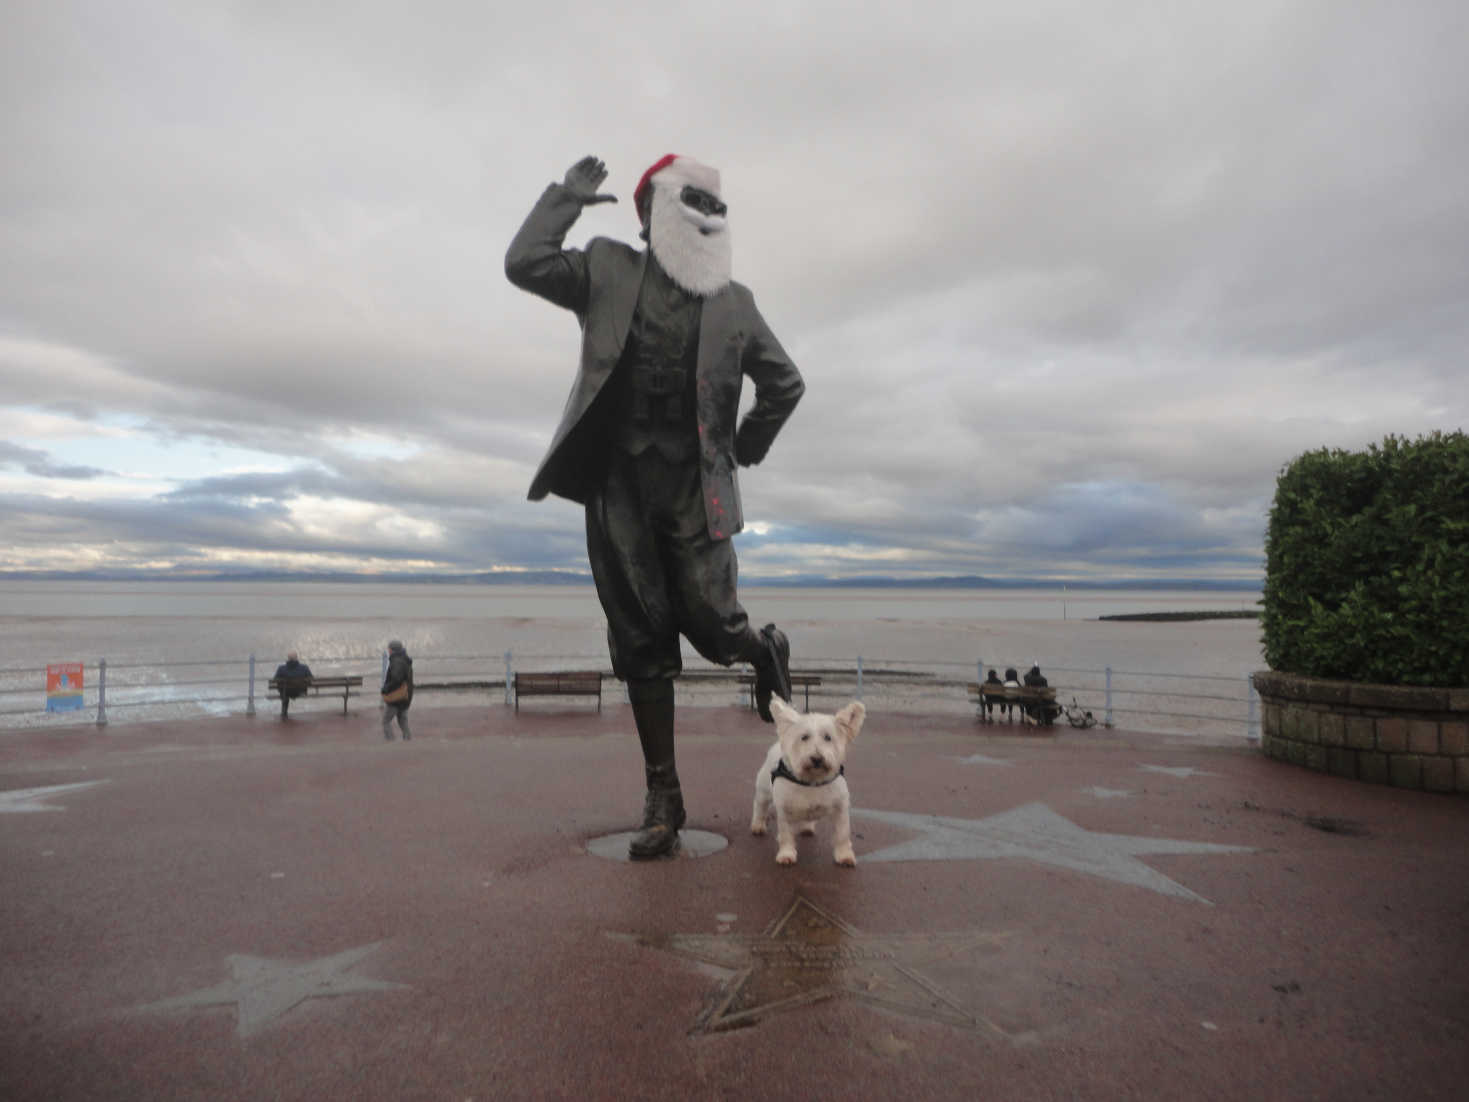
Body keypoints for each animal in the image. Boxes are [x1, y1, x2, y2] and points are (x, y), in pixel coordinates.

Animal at [746, 693, 857, 869]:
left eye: (828, 737)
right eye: (804, 737)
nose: (817, 758)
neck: (812, 781)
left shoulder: (841, 809)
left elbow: (842, 833)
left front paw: (844, 856)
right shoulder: (785, 810)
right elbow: (785, 834)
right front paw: (786, 855)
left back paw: (807, 828)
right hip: (763, 789)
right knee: (760, 805)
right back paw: (758, 826)